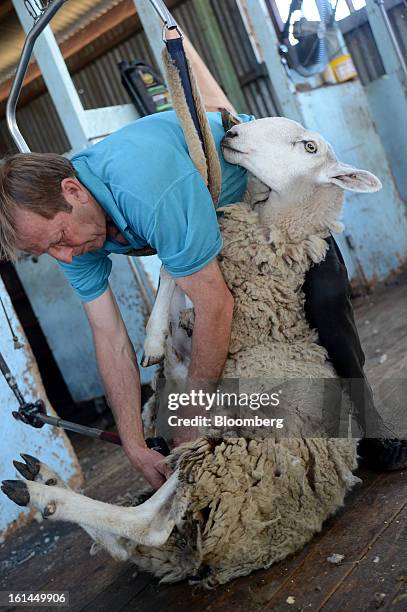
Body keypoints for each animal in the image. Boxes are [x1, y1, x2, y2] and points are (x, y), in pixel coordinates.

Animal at [1, 116, 382, 588]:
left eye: (309, 146)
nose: (232, 131)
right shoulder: (185, 353)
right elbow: (172, 269)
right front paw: (152, 339)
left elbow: (180, 268)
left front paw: (154, 336)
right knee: (132, 541)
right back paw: (46, 479)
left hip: (225, 448)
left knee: (150, 524)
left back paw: (41, 494)